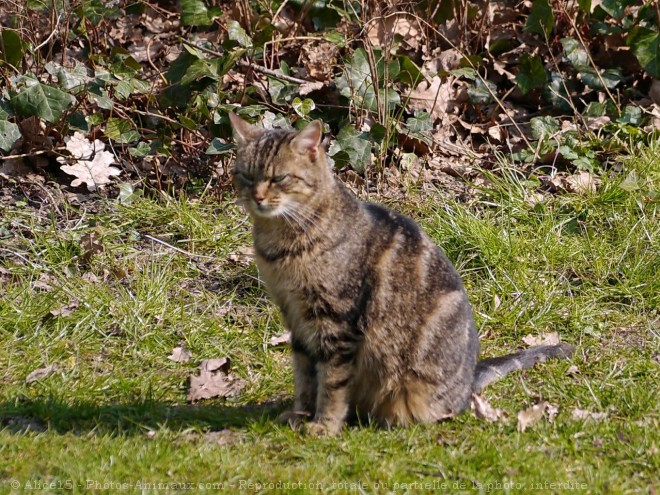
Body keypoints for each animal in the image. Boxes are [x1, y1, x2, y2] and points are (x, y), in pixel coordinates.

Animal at [229, 114, 576, 436]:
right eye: (246, 176)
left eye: (278, 178)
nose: (258, 197)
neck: (281, 244)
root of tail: (468, 383)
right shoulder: (295, 319)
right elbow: (304, 378)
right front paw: (300, 415)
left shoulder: (335, 323)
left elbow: (331, 384)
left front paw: (324, 425)